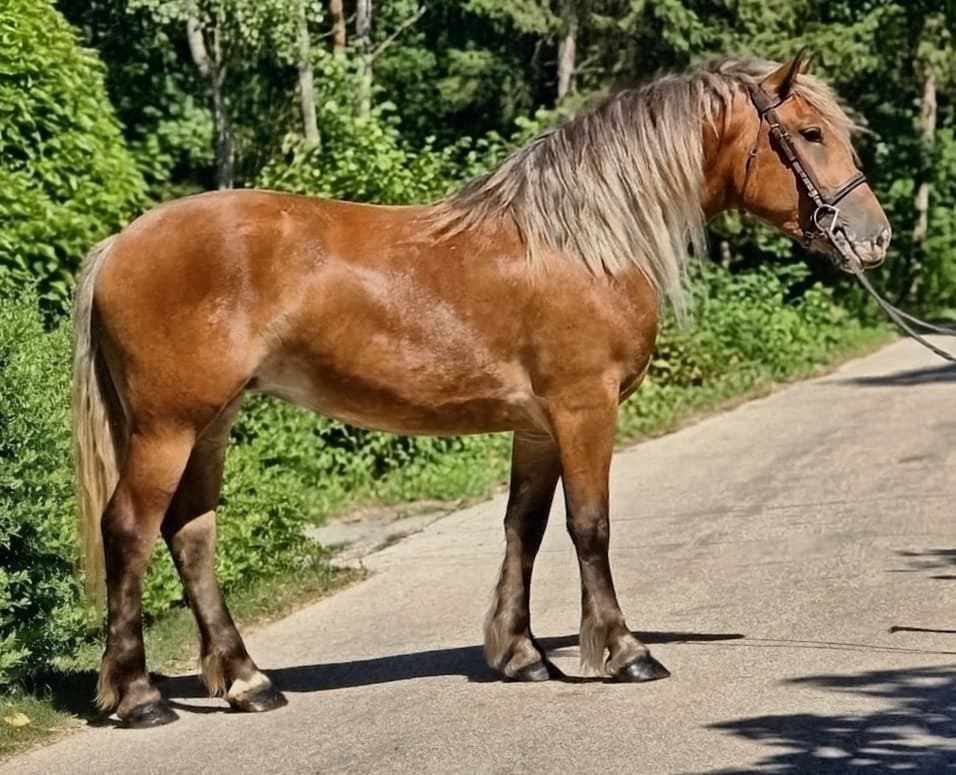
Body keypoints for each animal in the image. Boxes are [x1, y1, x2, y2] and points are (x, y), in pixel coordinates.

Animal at [72, 53, 891, 728]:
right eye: (810, 133)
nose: (873, 236)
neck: (580, 240)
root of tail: (119, 244)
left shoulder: (536, 426)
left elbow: (523, 529)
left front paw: (522, 655)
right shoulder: (583, 409)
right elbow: (589, 527)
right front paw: (624, 651)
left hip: (211, 422)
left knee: (192, 536)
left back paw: (247, 681)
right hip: (169, 426)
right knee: (132, 531)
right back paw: (139, 696)